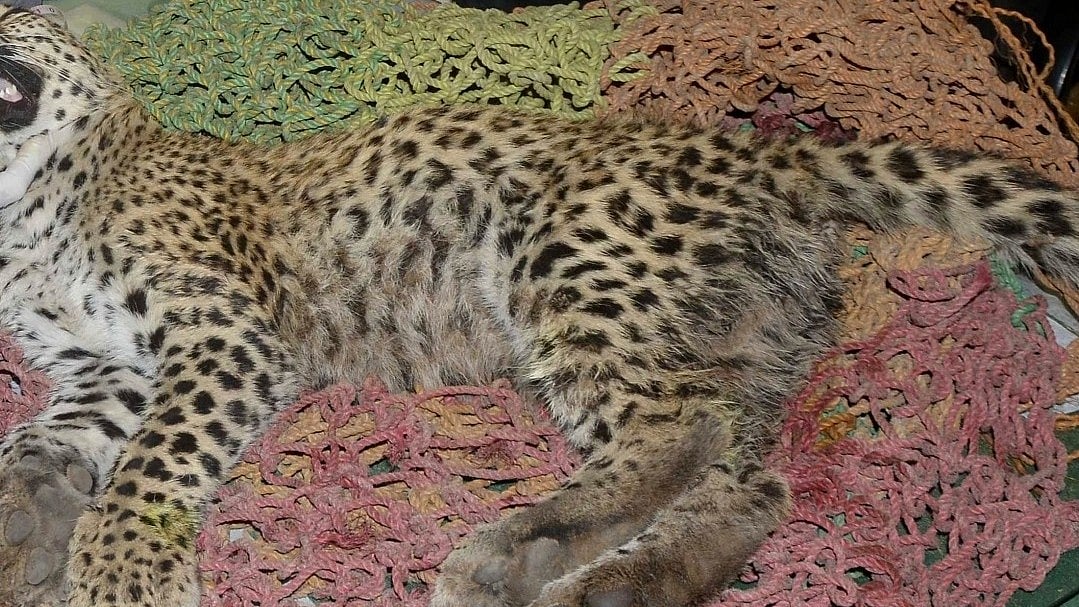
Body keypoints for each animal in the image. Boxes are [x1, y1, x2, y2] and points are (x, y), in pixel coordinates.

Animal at [0, 6, 1076, 607]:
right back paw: (609, 587)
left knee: (678, 426)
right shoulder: (106, 366)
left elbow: (154, 459)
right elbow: (42, 444)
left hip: (569, 261)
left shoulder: (224, 333)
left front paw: (122, 572)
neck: (25, 211)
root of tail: (771, 153)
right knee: (747, 481)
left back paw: (517, 554)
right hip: (733, 338)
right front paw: (25, 529)